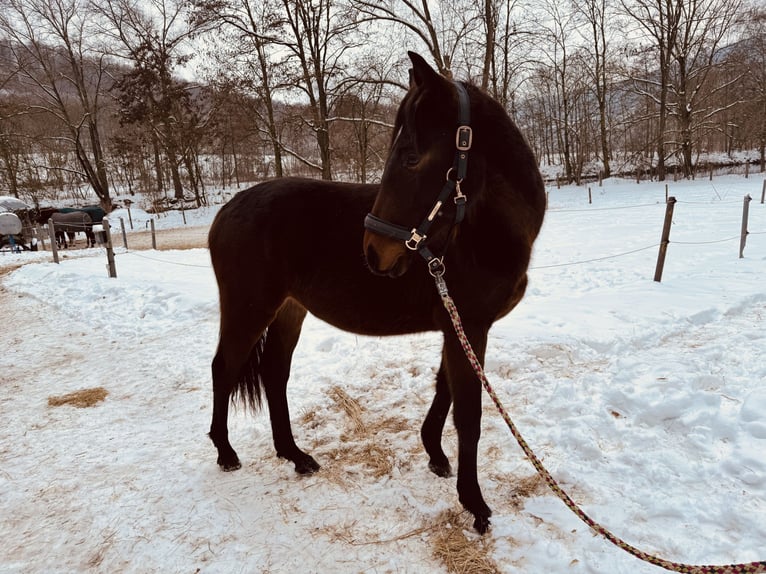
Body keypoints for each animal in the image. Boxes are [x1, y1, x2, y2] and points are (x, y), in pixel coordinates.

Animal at [207, 51, 546, 534]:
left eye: (410, 156)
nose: (374, 251)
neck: (477, 230)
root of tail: (226, 210)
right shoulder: (468, 325)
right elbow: (469, 414)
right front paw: (474, 503)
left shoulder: (458, 327)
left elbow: (443, 388)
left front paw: (435, 455)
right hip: (249, 309)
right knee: (224, 369)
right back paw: (226, 452)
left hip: (289, 310)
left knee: (274, 374)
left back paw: (295, 456)